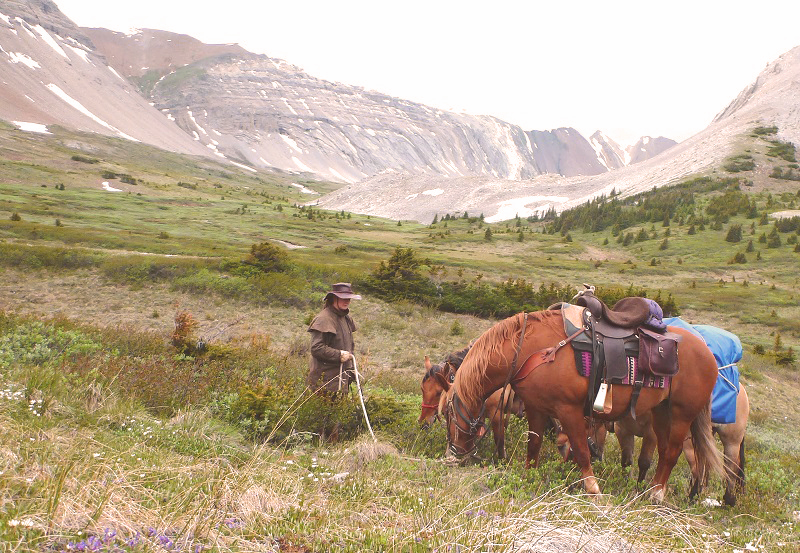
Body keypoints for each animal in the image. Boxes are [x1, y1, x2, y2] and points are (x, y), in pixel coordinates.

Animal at [443, 309, 724, 501]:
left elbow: (580, 450)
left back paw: (657, 495)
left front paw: (593, 489)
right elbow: (533, 446)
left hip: (682, 414)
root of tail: (707, 352)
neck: (530, 350)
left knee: (673, 452)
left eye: (446, 412)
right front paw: (528, 477)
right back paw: (651, 491)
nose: (453, 456)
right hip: (662, 411)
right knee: (665, 451)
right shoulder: (536, 409)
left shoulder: (568, 410)